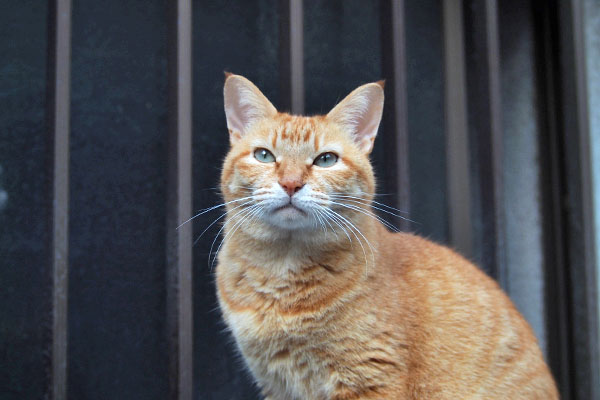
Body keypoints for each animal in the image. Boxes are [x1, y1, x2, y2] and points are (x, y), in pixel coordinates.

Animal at [216, 73, 556, 398]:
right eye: (264, 155)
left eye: (326, 159)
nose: (290, 183)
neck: (282, 268)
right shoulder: (277, 384)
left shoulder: (369, 377)